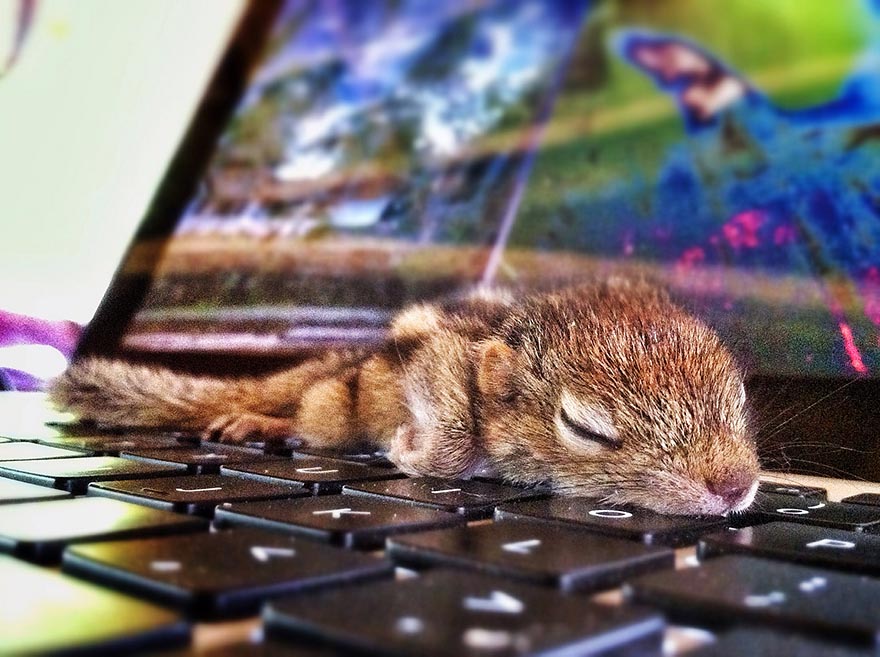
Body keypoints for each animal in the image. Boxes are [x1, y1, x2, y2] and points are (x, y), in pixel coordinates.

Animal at [48, 279, 760, 516]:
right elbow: (451, 438)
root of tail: (342, 360)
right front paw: (412, 449)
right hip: (333, 410)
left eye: (739, 396)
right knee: (308, 416)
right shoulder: (440, 359)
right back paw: (262, 420)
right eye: (587, 428)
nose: (736, 486)